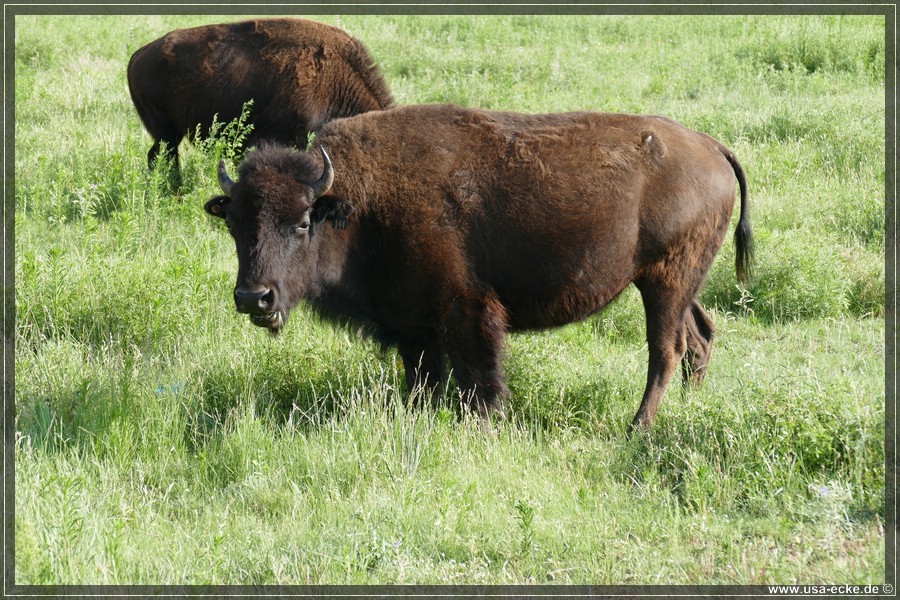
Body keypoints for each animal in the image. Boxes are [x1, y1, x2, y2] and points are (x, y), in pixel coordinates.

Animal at [204, 104, 752, 432]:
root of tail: (712, 147)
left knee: (665, 350)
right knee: (699, 336)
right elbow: (422, 380)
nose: (254, 297)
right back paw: (687, 408)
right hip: (673, 283)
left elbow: (478, 380)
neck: (359, 203)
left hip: (664, 281)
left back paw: (637, 428)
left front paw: (484, 425)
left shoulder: (467, 312)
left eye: (301, 222)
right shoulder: (414, 328)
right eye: (233, 223)